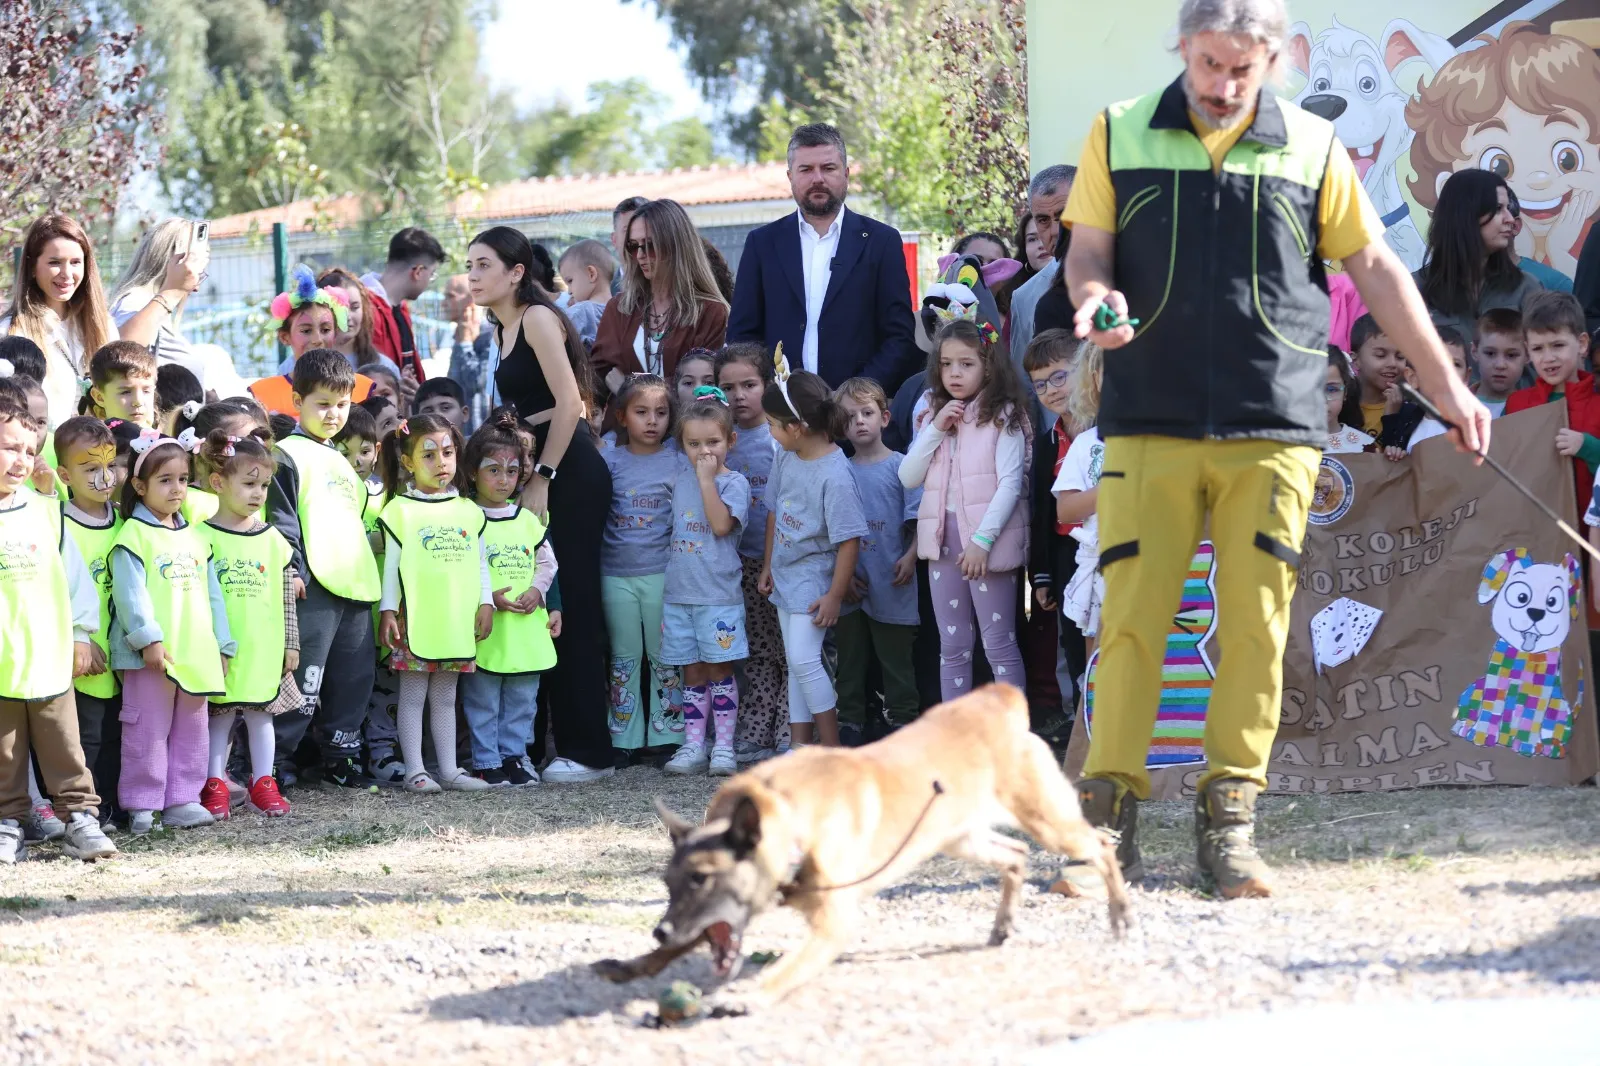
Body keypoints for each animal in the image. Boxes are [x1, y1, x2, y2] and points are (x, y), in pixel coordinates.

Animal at [595, 685, 1132, 998]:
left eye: (702, 879)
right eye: (669, 884)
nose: (659, 930)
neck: (789, 818)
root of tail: (996, 701)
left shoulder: (835, 920)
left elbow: (793, 965)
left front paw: (755, 992)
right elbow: (687, 943)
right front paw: (635, 963)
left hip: (1047, 821)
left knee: (1100, 846)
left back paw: (1121, 915)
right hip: (955, 837)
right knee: (1016, 855)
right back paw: (1002, 925)